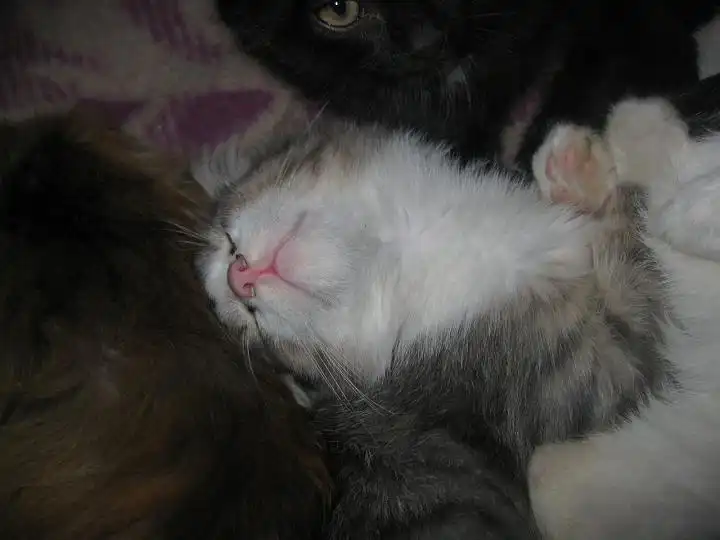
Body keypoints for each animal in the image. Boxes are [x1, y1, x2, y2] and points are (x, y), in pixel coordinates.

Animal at [196, 84, 720, 537]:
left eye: (227, 240)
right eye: (251, 328)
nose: (239, 279)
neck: (406, 252)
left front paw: (572, 174)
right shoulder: (592, 382)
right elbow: (635, 248)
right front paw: (622, 159)